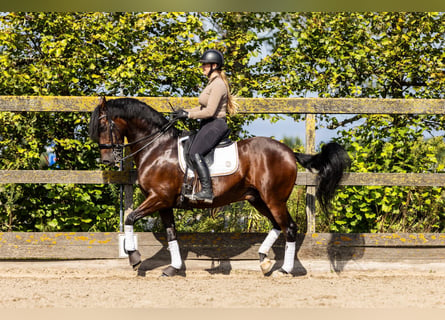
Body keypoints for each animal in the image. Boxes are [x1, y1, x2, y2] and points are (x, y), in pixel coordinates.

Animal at [88, 96, 348, 276]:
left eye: (102, 125)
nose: (107, 161)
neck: (157, 147)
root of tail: (289, 152)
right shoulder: (165, 203)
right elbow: (171, 233)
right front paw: (174, 268)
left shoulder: (158, 198)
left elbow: (130, 218)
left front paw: (134, 257)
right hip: (258, 199)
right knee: (277, 226)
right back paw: (264, 261)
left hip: (274, 199)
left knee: (290, 228)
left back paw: (284, 270)